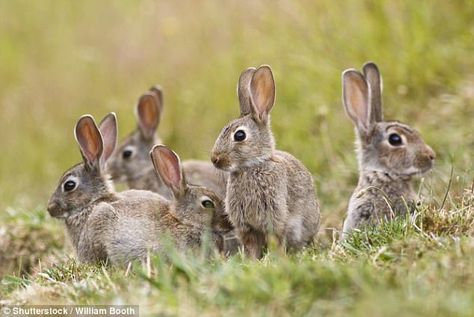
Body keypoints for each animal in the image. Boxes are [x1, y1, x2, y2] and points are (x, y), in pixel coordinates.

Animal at [212, 65, 320, 258]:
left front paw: (278, 259)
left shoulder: (274, 218)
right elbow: (251, 246)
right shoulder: (246, 226)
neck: (252, 166)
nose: (214, 159)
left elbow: (276, 240)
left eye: (240, 135)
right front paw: (252, 261)